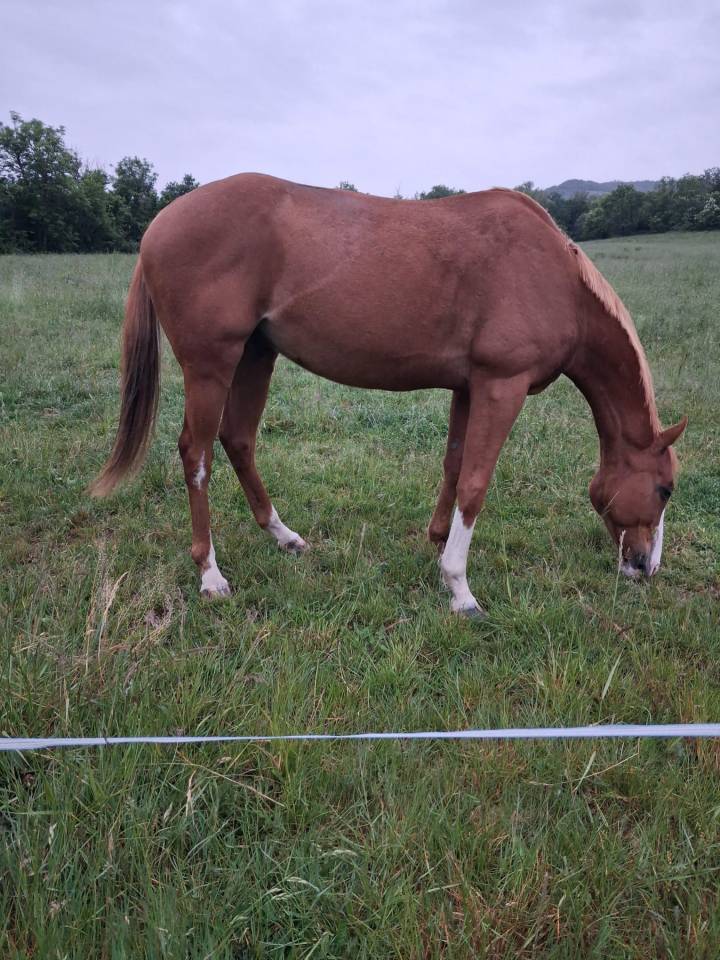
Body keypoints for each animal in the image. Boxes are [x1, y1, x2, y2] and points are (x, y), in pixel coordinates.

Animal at [91, 174, 687, 617]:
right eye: (665, 490)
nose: (645, 567)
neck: (554, 276)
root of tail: (160, 223)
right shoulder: (503, 385)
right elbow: (476, 483)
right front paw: (460, 589)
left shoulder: (469, 386)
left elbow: (455, 467)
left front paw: (438, 542)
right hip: (211, 365)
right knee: (197, 454)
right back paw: (210, 574)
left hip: (256, 355)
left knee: (238, 440)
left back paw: (283, 535)